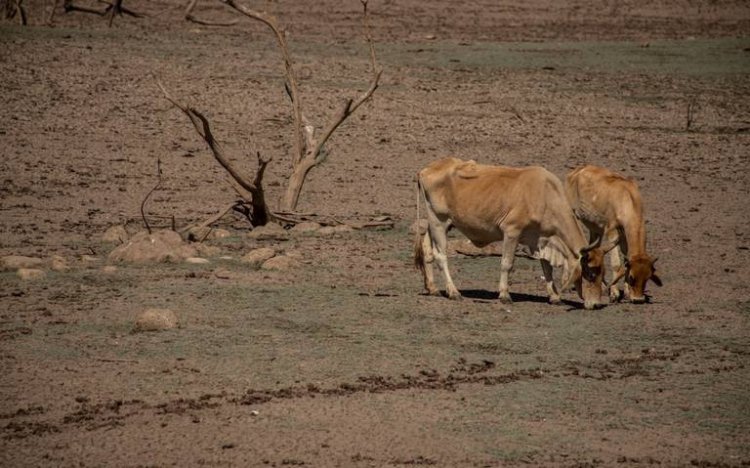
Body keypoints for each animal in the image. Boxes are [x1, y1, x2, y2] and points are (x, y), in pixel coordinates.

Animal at [414, 157, 608, 310]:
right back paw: (453, 292)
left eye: (603, 274)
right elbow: (507, 263)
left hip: (440, 224)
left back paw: (433, 288)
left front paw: (554, 297)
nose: (596, 304)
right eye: (591, 273)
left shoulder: (541, 239)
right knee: (440, 256)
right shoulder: (512, 231)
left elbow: (547, 268)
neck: (545, 195)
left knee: (427, 250)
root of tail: (427, 169)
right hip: (439, 221)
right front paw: (505, 295)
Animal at [568, 165, 668, 304]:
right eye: (632, 277)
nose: (638, 299)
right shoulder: (612, 232)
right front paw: (614, 294)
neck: (626, 199)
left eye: (647, 278)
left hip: (594, 227)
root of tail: (578, 170)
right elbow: (616, 264)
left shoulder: (624, 235)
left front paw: (626, 293)